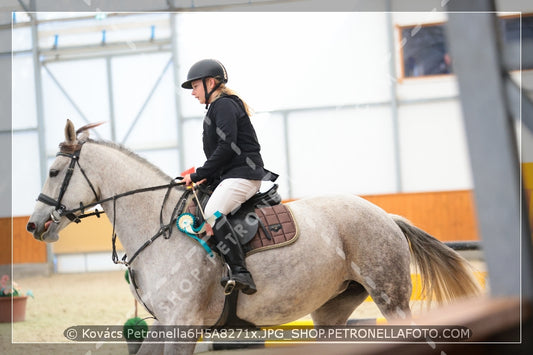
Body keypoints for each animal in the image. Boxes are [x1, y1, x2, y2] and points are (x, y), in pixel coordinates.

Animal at [27, 121, 480, 354]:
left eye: (53, 172)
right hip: (333, 312)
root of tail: (385, 215)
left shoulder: (183, 326)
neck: (160, 231)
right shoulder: (165, 325)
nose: (34, 225)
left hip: (392, 300)